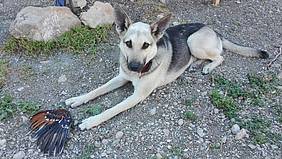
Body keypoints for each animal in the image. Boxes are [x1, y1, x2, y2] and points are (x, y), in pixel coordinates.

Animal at [65, 6, 268, 130]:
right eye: (128, 43)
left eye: (146, 45)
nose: (134, 67)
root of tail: (213, 29)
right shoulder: (122, 77)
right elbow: (97, 90)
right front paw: (78, 99)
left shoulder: (137, 96)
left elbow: (112, 109)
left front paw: (91, 121)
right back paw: (194, 64)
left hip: (193, 41)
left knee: (220, 56)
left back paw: (208, 67)